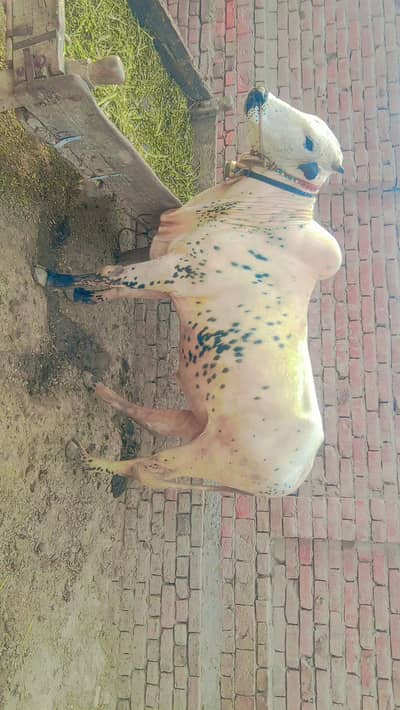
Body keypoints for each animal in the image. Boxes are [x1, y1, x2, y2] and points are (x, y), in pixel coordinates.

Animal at [34, 88, 343, 497]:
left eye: (309, 140)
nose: (258, 92)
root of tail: (293, 479)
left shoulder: (172, 271)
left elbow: (110, 274)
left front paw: (51, 277)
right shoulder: (167, 279)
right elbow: (115, 285)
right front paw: (85, 297)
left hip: (204, 455)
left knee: (146, 470)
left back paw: (90, 460)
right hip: (196, 421)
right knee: (152, 421)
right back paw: (101, 392)